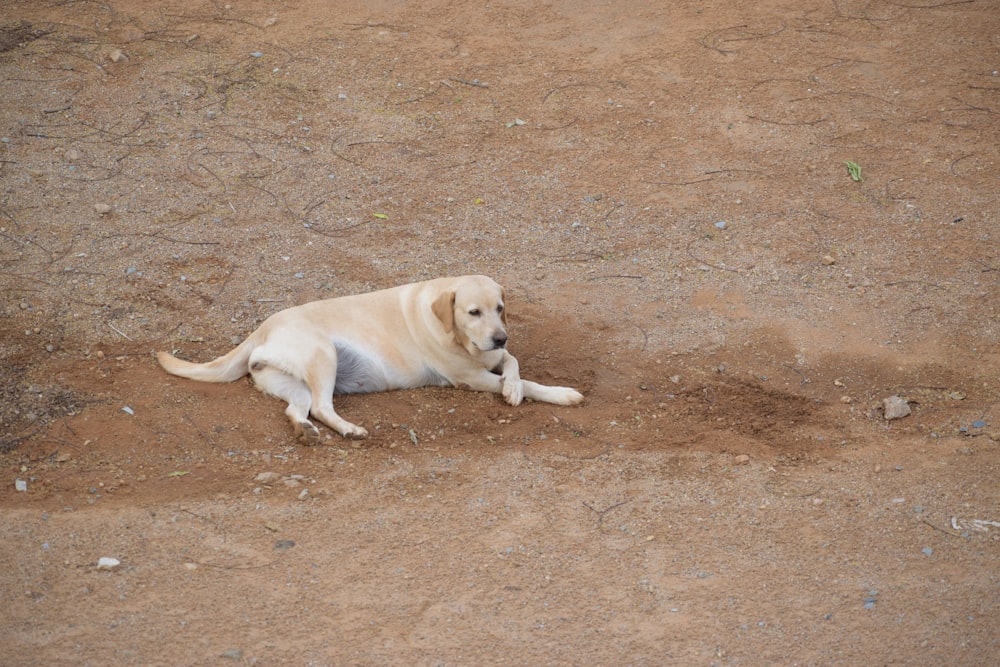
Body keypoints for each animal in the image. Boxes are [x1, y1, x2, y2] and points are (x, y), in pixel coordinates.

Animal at [152, 276, 584, 444]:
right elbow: (528, 381)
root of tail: (261, 328)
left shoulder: (496, 357)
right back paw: (349, 429)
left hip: (292, 383)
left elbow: (514, 365)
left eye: (500, 309)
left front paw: (517, 386)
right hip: (323, 356)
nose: (500, 335)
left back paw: (305, 432)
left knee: (298, 410)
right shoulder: (470, 377)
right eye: (473, 312)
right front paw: (553, 393)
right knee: (323, 407)